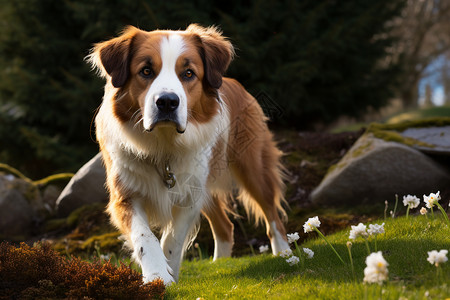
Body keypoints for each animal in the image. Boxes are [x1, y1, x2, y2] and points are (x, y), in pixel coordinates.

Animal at [88, 24, 290, 284]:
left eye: (188, 73)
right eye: (146, 71)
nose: (166, 102)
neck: (163, 146)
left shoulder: (189, 196)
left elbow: (172, 240)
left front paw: (169, 272)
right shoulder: (125, 195)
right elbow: (145, 237)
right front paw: (158, 275)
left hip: (252, 169)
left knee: (272, 214)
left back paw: (284, 252)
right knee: (225, 226)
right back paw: (219, 264)